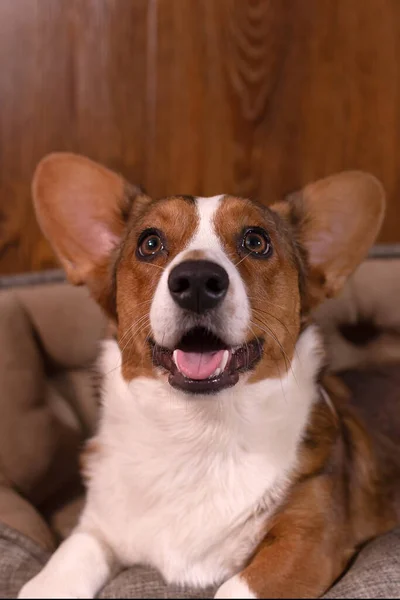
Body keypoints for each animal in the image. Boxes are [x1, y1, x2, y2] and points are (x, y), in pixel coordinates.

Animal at [19, 152, 400, 596]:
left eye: (256, 241)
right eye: (150, 243)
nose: (197, 280)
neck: (198, 431)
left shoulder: (308, 540)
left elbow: (234, 586)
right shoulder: (97, 528)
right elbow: (63, 564)